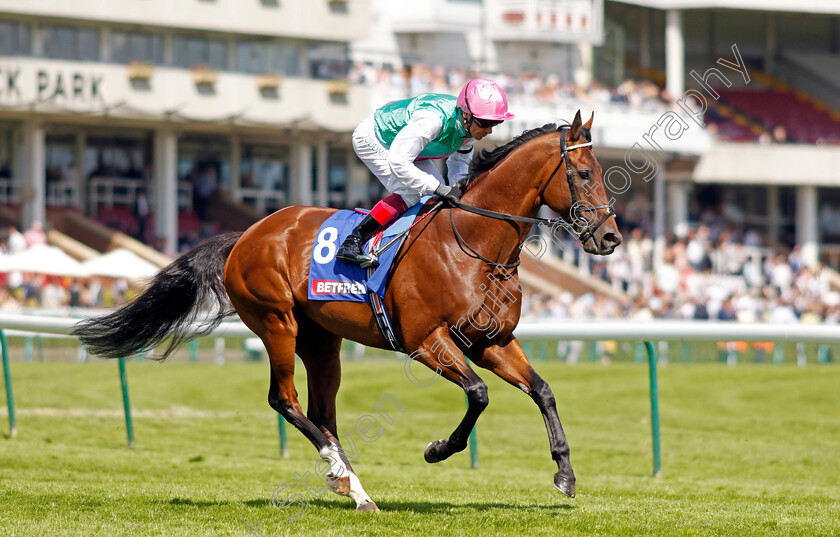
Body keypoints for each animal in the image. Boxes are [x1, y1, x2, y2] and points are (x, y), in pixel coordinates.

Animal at [74, 111, 624, 512]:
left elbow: (543, 391)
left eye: (601, 173)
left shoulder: (492, 341)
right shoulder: (426, 341)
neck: (473, 242)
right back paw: (344, 476)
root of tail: (247, 235)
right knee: (284, 400)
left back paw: (354, 487)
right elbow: (479, 394)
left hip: (322, 341)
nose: (610, 238)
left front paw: (564, 473)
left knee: (323, 412)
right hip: (276, 321)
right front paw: (437, 449)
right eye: (581, 174)